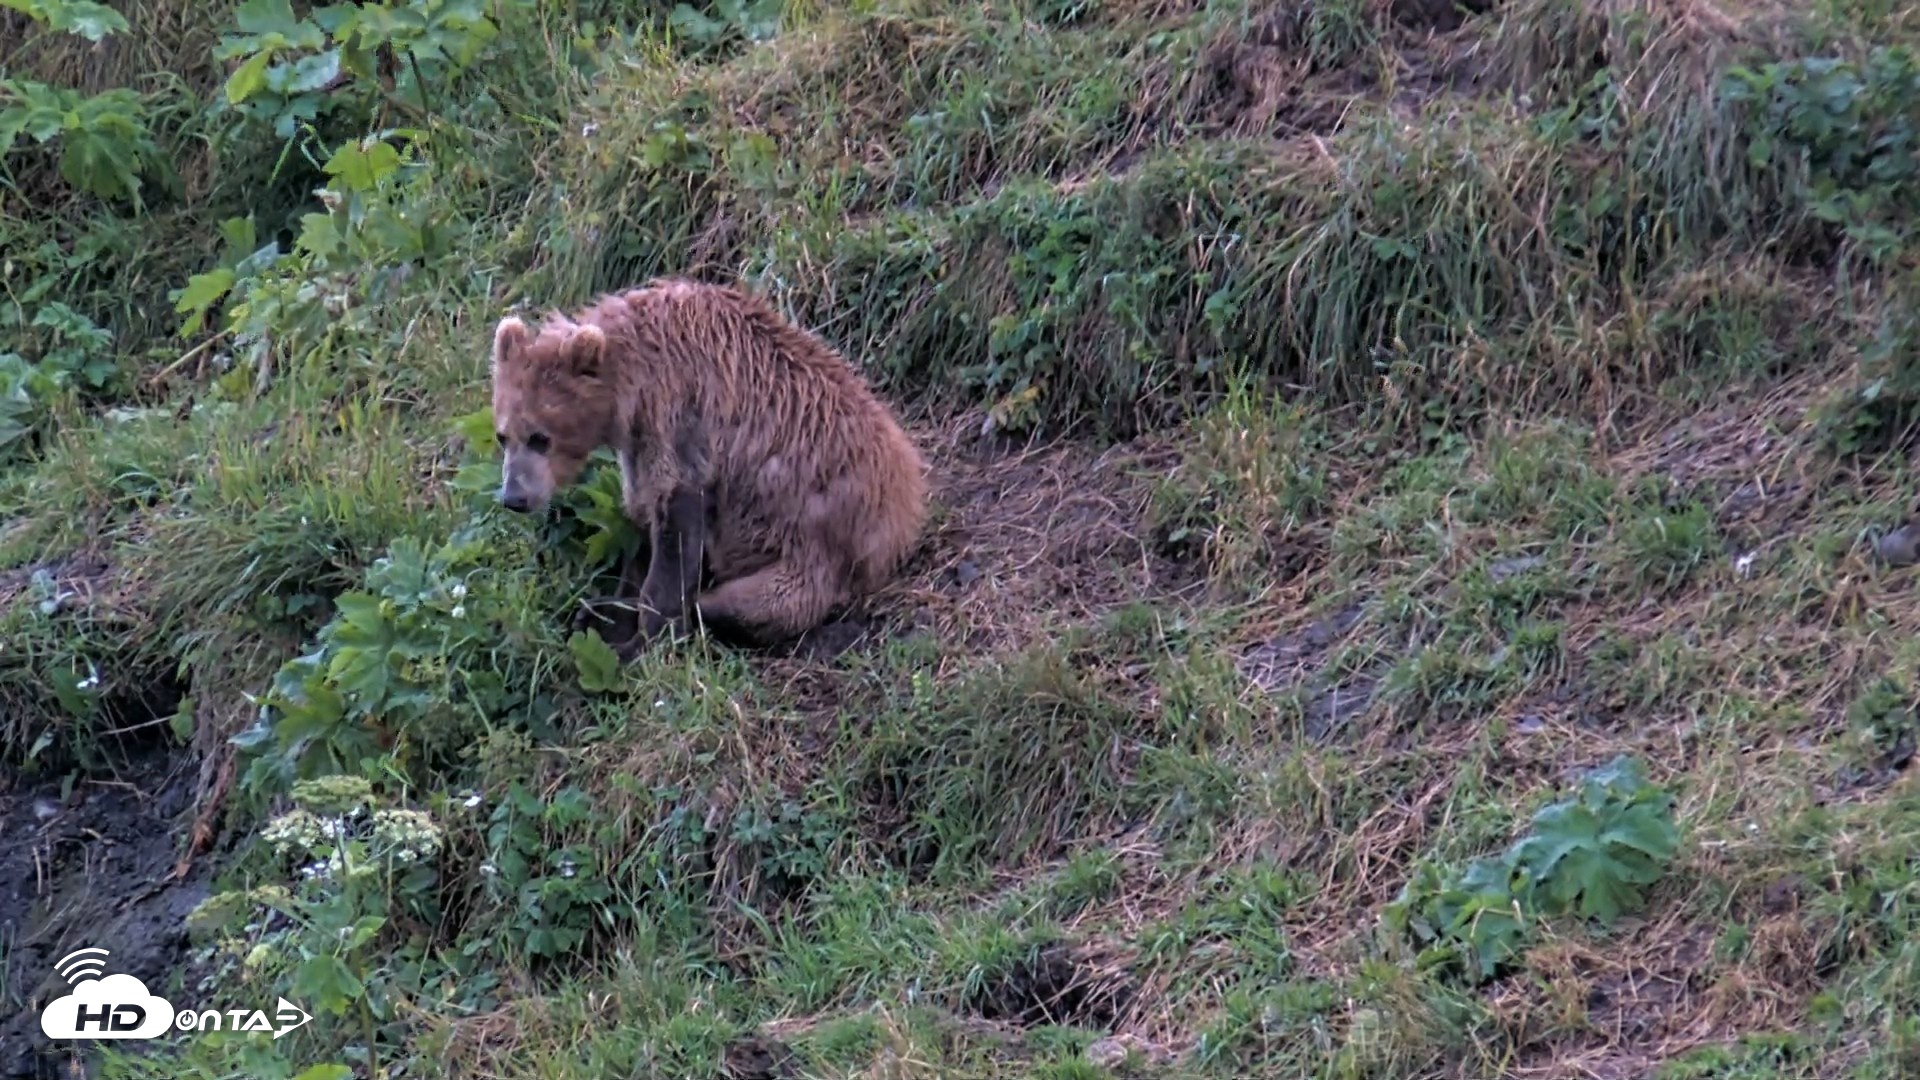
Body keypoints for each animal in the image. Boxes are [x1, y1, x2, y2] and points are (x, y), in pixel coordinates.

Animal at [488, 277, 931, 658]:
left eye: (540, 437)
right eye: (503, 436)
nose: (514, 497)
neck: (631, 382)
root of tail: (901, 519)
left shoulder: (682, 413)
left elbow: (675, 521)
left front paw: (640, 641)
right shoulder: (640, 442)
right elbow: (642, 513)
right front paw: (612, 613)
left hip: (806, 553)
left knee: (758, 605)